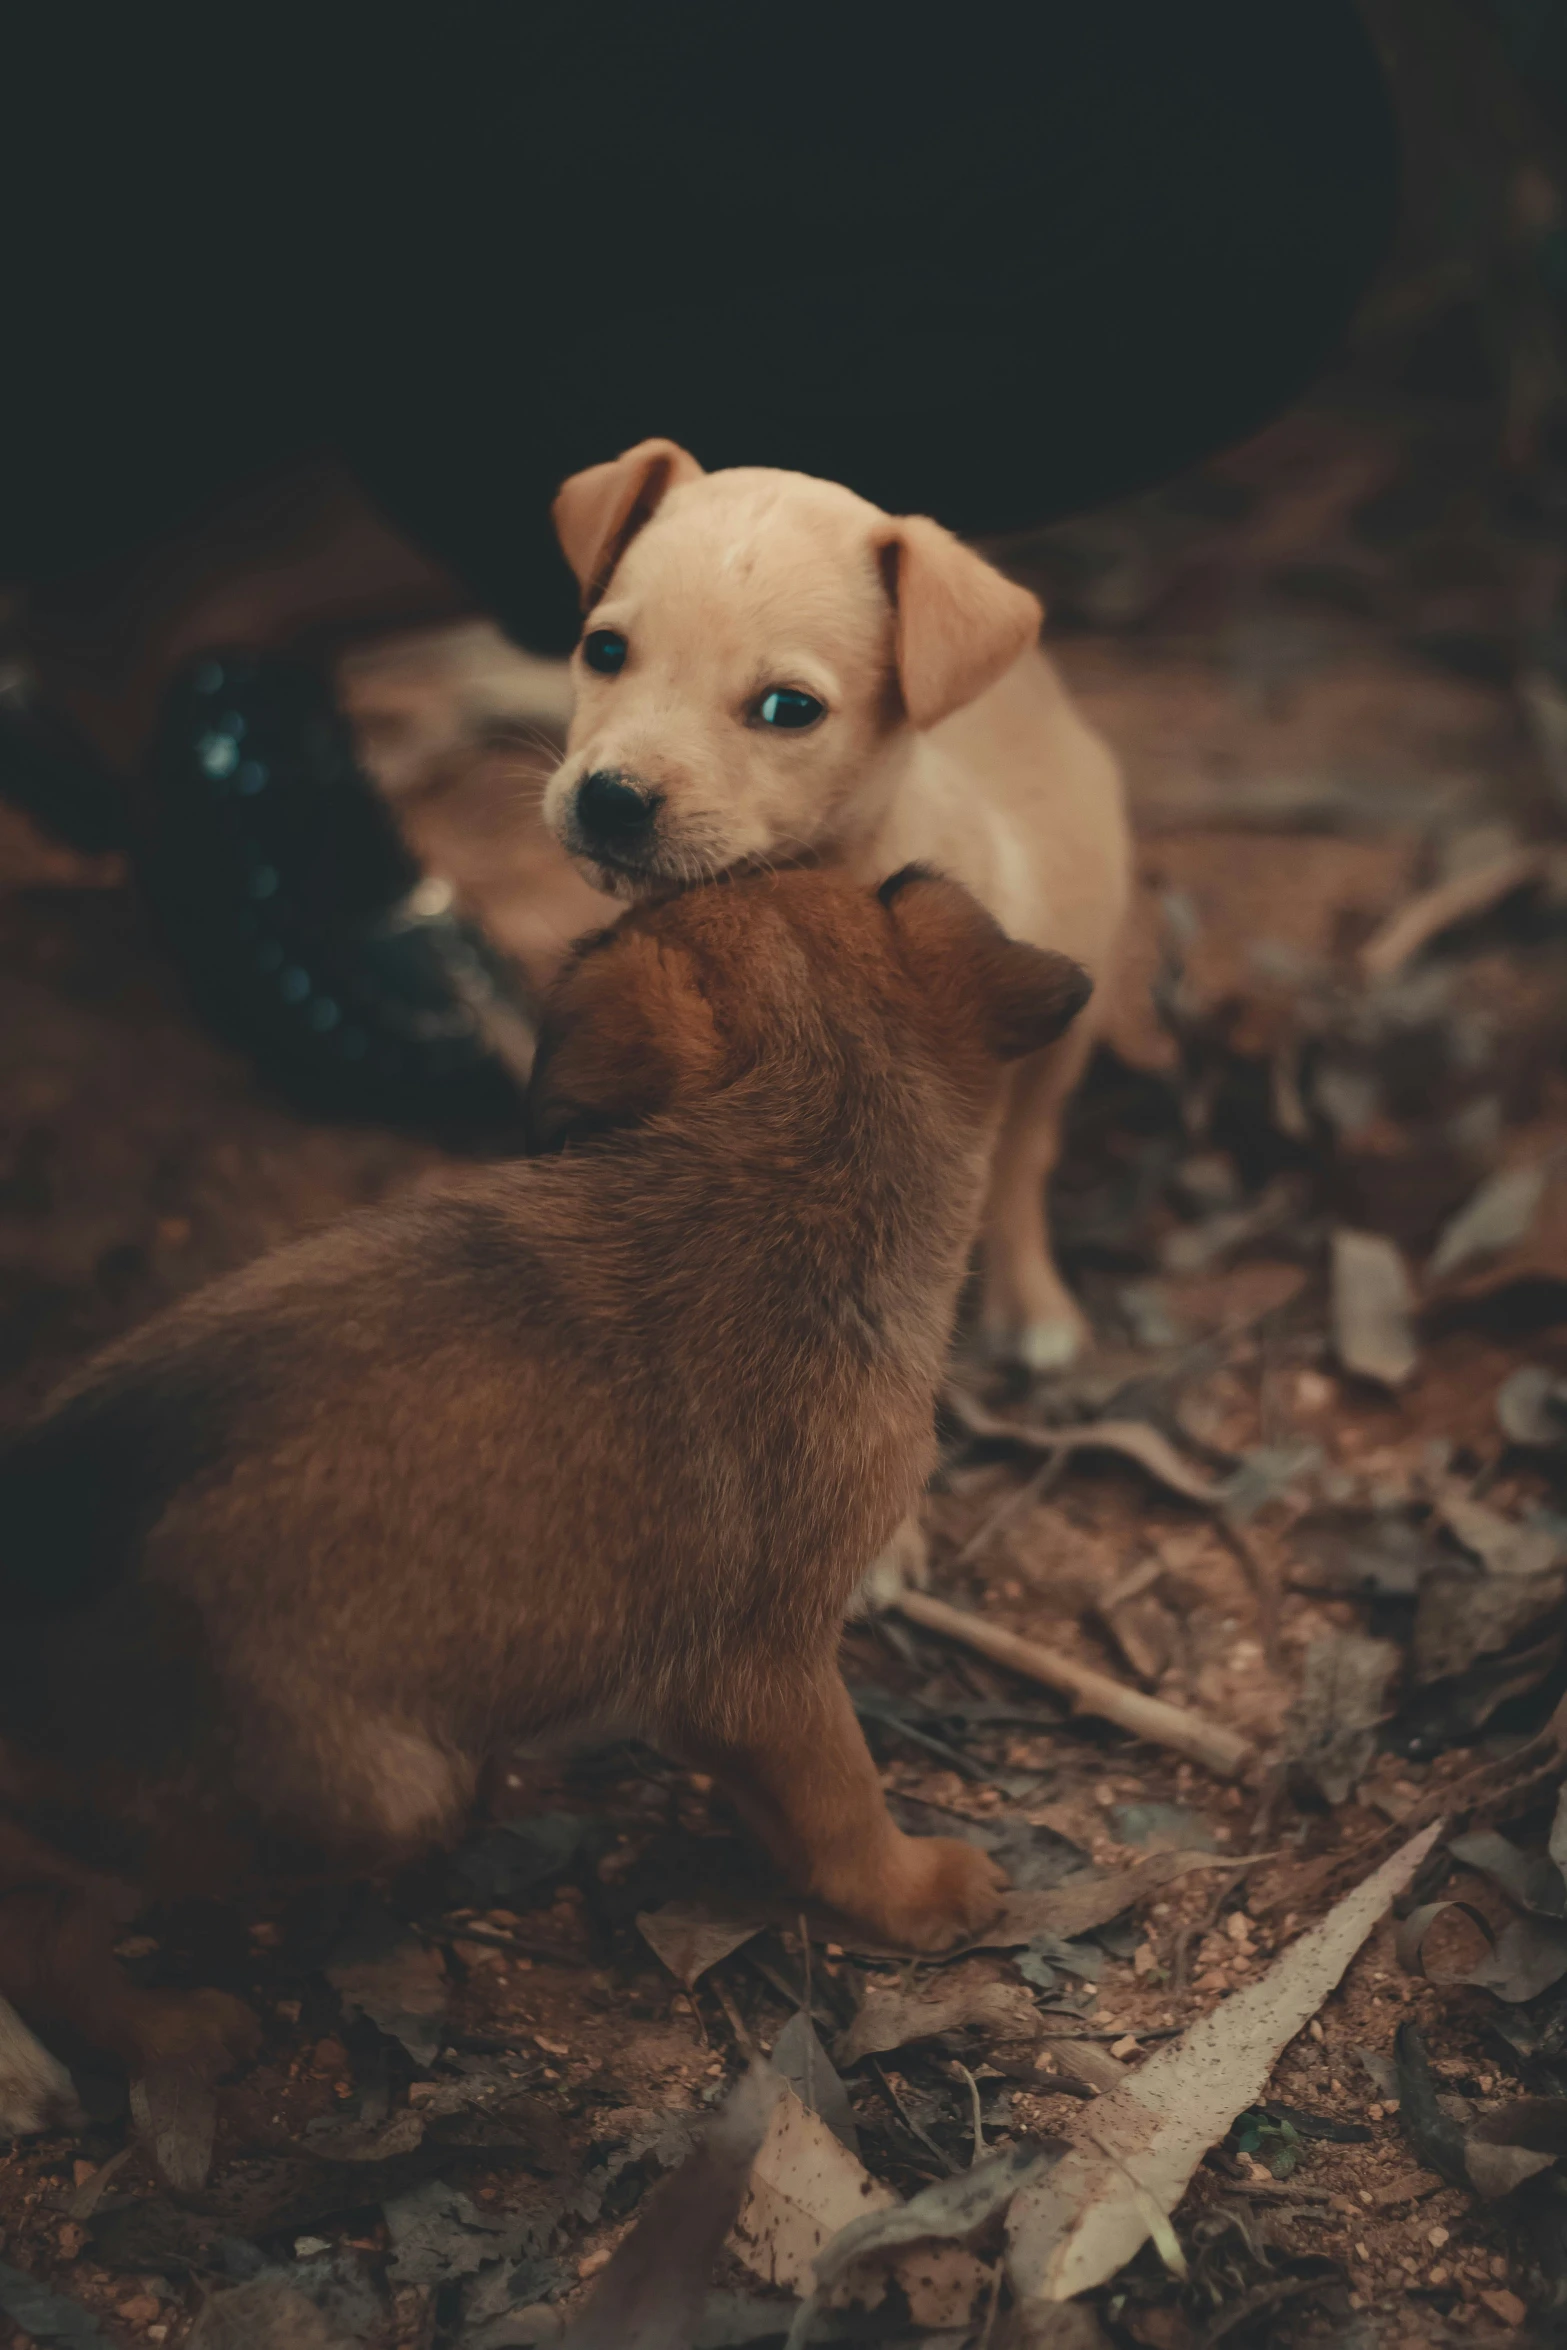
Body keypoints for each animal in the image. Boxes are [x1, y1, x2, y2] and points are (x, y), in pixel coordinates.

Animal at [0, 864, 1090, 2077]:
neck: (799, 1153)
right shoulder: (771, 1665)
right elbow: (843, 1797)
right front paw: (915, 1888)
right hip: (362, 1798)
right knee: (41, 1926)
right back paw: (164, 2030)